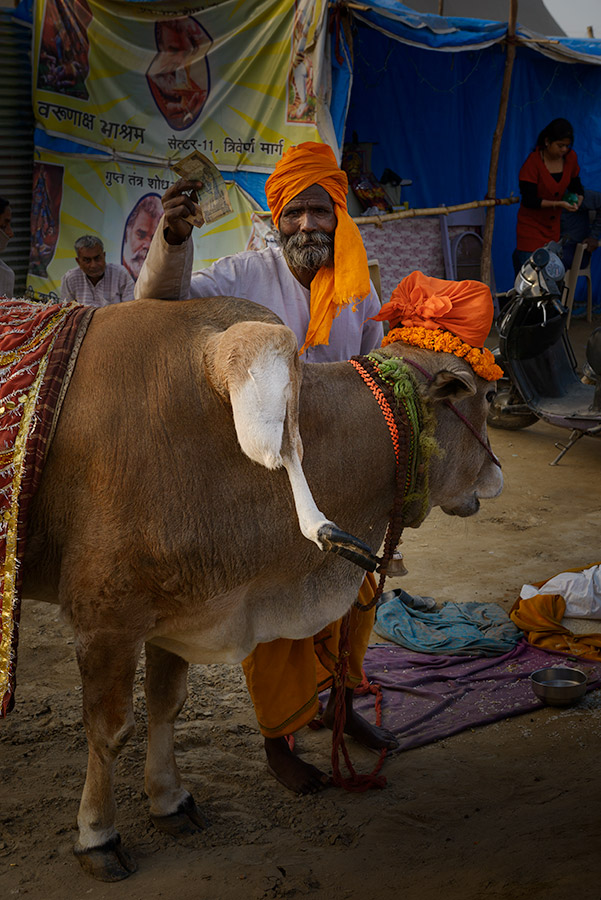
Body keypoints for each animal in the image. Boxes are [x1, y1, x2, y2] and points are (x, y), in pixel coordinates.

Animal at [1, 286, 502, 880]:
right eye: (486, 396)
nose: (496, 475)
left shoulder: (178, 609)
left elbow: (167, 704)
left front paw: (168, 799)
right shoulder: (104, 622)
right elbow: (110, 731)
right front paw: (97, 834)